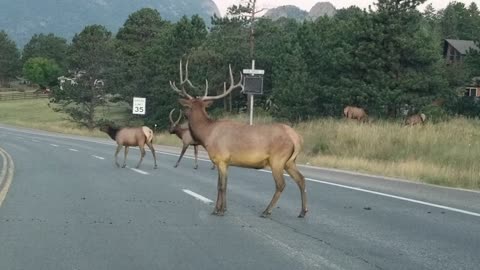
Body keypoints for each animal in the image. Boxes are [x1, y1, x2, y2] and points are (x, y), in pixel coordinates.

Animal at [171, 60, 310, 218]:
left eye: (187, 107)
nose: (183, 113)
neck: (207, 133)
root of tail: (296, 138)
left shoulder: (221, 159)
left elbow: (221, 186)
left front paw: (219, 210)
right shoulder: (225, 162)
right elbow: (221, 185)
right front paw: (221, 208)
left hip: (278, 159)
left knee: (281, 184)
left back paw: (266, 211)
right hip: (290, 161)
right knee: (301, 179)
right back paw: (302, 211)